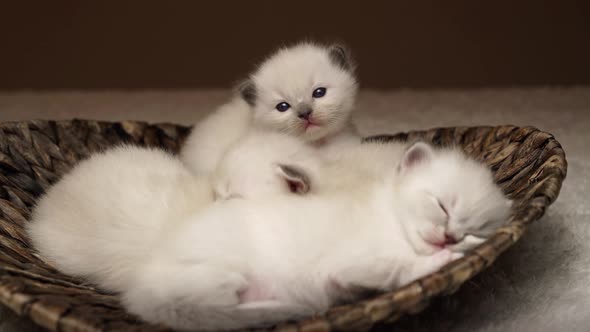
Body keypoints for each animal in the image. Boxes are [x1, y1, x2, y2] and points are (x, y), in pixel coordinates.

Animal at [122, 141, 516, 330]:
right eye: (442, 206)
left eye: (471, 232)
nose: (451, 238)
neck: (390, 218)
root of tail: (137, 294)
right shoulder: (352, 262)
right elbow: (399, 269)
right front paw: (439, 261)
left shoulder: (350, 277)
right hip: (216, 274)